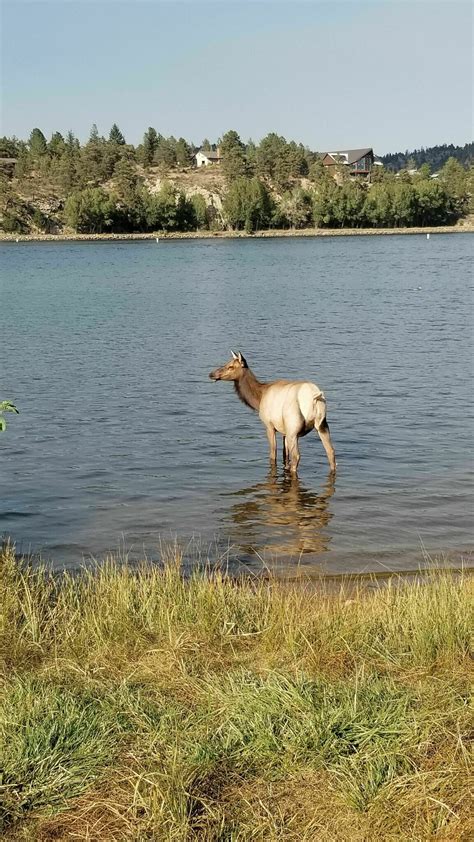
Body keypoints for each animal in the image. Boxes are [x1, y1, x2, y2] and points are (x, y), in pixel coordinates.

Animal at [208, 352, 336, 476]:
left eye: (231, 366)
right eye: (226, 363)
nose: (211, 374)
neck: (258, 398)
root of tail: (315, 398)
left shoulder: (269, 425)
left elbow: (273, 455)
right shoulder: (284, 431)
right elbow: (285, 455)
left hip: (293, 428)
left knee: (296, 456)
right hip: (322, 425)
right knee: (331, 452)